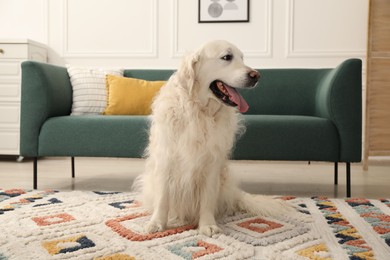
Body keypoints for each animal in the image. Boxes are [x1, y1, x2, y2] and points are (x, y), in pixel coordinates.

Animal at [133, 39, 292, 237]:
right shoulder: (166, 159)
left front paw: (207, 225)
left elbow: (207, 199)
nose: (256, 76)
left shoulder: (212, 163)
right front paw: (157, 223)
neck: (199, 111)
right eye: (227, 57)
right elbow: (163, 198)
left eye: (242, 58)